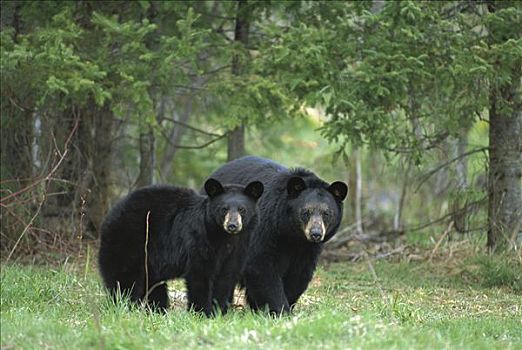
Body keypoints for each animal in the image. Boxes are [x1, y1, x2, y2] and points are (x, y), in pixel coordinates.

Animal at [97, 176, 262, 316]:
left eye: (242, 209)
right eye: (224, 209)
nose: (232, 226)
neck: (223, 237)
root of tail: (110, 216)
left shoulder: (238, 249)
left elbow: (225, 278)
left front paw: (218, 312)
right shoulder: (199, 240)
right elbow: (199, 275)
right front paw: (201, 313)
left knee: (154, 285)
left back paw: (157, 311)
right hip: (128, 242)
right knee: (124, 280)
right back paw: (125, 307)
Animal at [205, 156, 348, 314]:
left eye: (326, 213)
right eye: (306, 212)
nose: (315, 234)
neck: (292, 235)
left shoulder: (308, 250)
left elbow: (299, 275)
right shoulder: (265, 230)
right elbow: (261, 266)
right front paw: (280, 310)